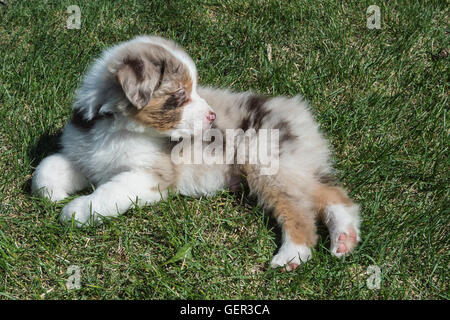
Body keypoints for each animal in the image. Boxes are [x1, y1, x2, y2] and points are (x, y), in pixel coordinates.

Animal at [30, 35, 362, 270]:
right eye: (180, 94)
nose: (212, 117)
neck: (120, 128)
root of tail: (299, 112)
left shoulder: (150, 177)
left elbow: (108, 193)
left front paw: (75, 211)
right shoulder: (84, 154)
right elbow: (46, 168)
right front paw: (54, 195)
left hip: (266, 165)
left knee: (299, 211)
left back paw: (292, 255)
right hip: (293, 166)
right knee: (332, 195)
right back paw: (344, 239)